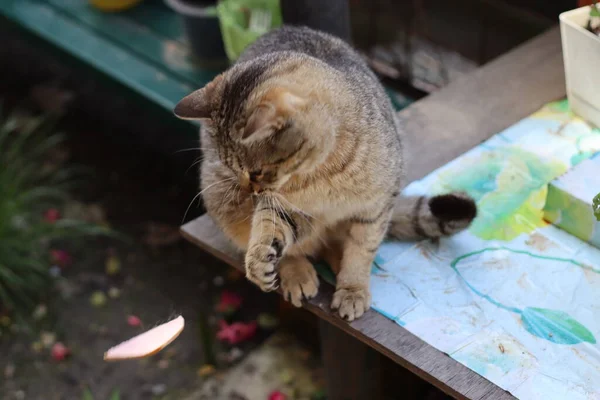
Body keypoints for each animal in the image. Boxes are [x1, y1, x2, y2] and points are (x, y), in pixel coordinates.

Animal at [175, 26, 478, 322]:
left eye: (257, 172)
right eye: (232, 168)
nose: (251, 190)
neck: (321, 175)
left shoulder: (376, 207)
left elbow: (361, 250)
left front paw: (353, 288)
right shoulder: (284, 206)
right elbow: (270, 229)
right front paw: (261, 260)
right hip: (223, 201)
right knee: (295, 246)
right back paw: (295, 272)